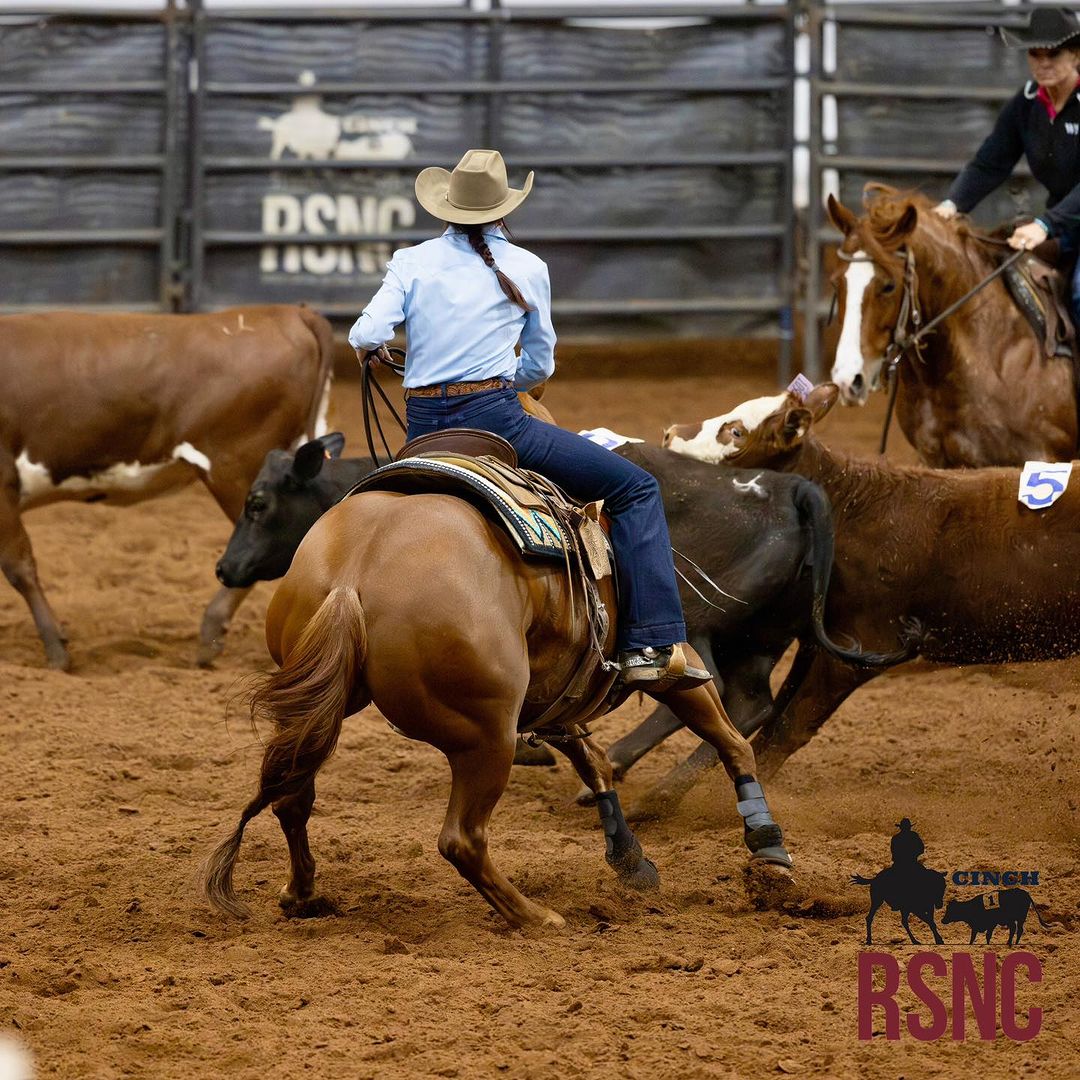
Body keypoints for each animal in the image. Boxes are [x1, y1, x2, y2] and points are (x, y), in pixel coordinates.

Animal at [204, 486, 794, 933]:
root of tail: (353, 578)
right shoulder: (680, 661)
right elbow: (729, 741)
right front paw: (768, 850)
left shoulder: (559, 695)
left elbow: (595, 761)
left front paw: (629, 856)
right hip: (487, 736)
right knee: (462, 840)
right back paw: (535, 917)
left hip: (308, 711)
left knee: (291, 798)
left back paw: (302, 894)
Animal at [219, 434, 911, 790]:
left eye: (258, 503)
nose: (225, 568)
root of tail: (793, 488)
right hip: (756, 638)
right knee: (749, 703)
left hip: (699, 621)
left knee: (705, 690)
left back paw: (639, 776)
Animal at [656, 384, 1080, 781]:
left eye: (737, 431)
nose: (670, 433)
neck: (853, 511)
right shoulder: (822, 640)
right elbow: (774, 718)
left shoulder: (863, 647)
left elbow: (788, 729)